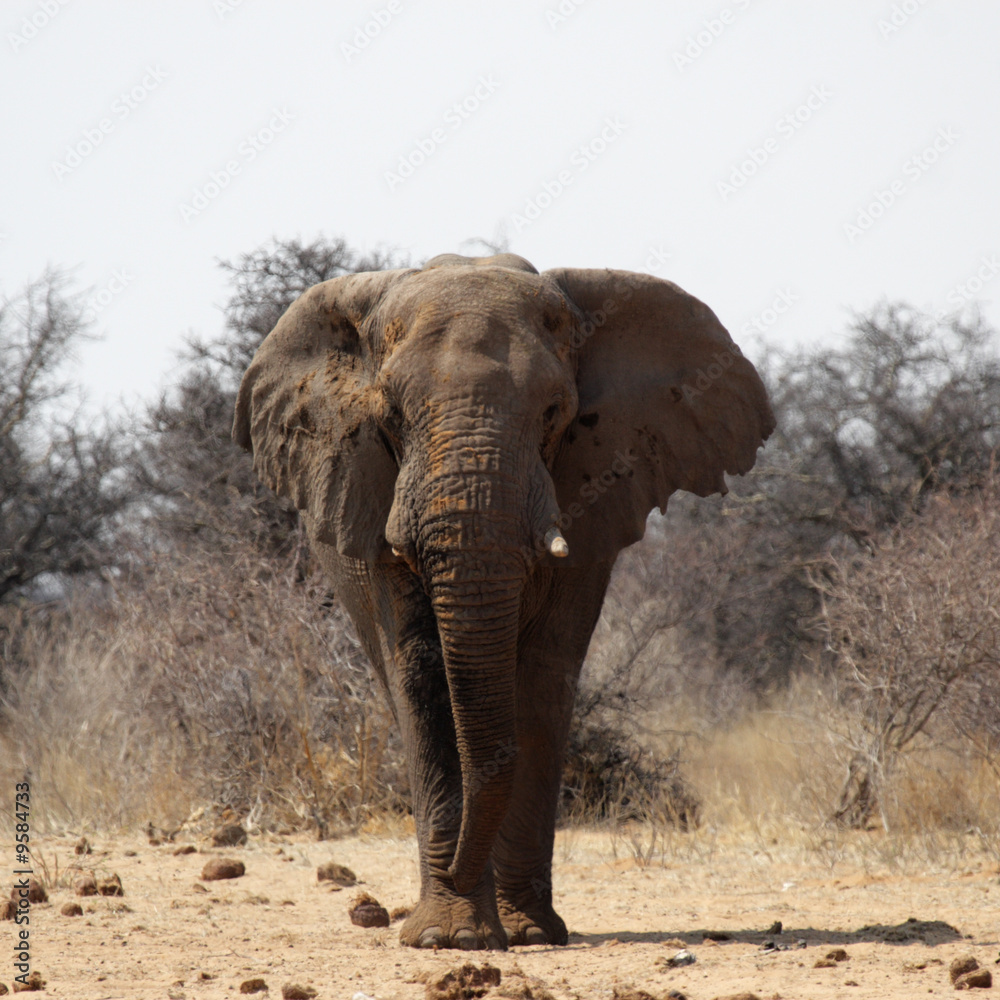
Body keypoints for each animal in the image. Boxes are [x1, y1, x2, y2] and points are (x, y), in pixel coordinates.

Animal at [232, 252, 774, 950]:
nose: (459, 874)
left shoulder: (591, 490)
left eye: (555, 411)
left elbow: (543, 672)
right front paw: (450, 939)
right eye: (391, 415)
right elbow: (423, 674)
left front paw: (526, 935)